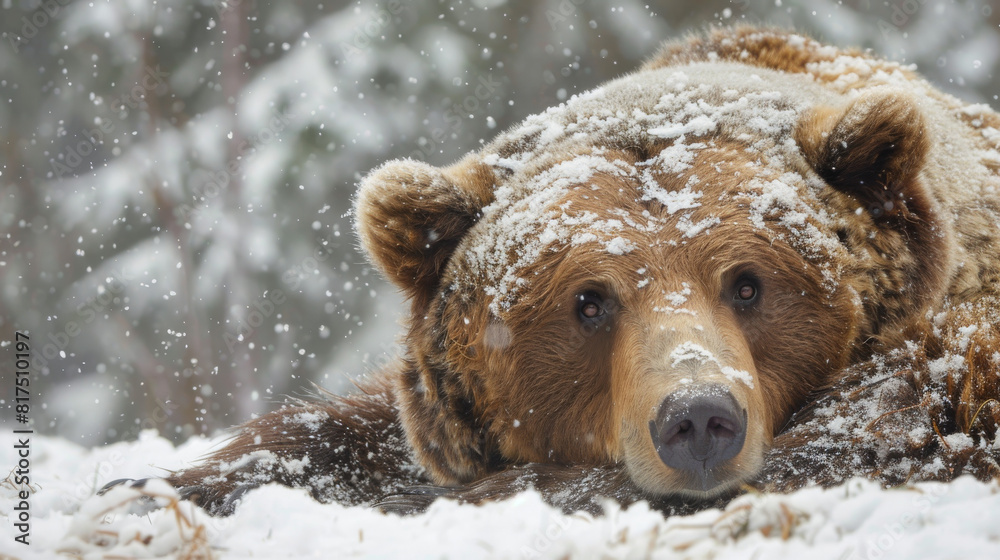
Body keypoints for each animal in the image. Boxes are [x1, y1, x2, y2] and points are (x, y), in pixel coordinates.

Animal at [106, 25, 1000, 517]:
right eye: (589, 302)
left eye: (749, 283)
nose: (698, 418)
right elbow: (333, 437)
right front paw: (152, 486)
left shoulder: (948, 361)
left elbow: (880, 428)